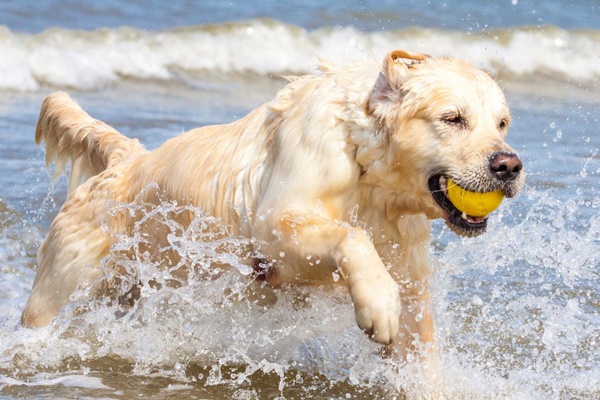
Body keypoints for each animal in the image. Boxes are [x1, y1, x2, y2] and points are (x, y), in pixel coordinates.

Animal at [21, 48, 524, 358]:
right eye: (453, 119)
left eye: (502, 123)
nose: (509, 165)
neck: (370, 174)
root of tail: (128, 158)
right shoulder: (274, 227)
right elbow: (350, 235)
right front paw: (379, 302)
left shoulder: (409, 271)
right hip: (63, 281)